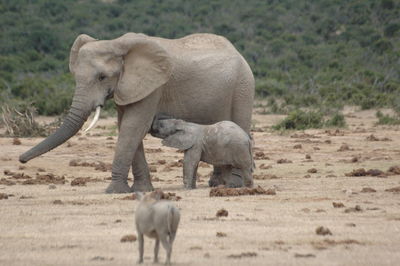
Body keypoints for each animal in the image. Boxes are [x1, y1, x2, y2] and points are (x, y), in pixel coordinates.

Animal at [18, 32, 255, 193]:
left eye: (102, 77)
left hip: (243, 87)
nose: (21, 160)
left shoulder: (154, 87)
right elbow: (127, 127)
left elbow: (133, 128)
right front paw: (141, 191)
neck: (116, 43)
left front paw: (114, 192)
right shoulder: (127, 88)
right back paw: (217, 184)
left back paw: (234, 185)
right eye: (75, 76)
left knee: (240, 124)